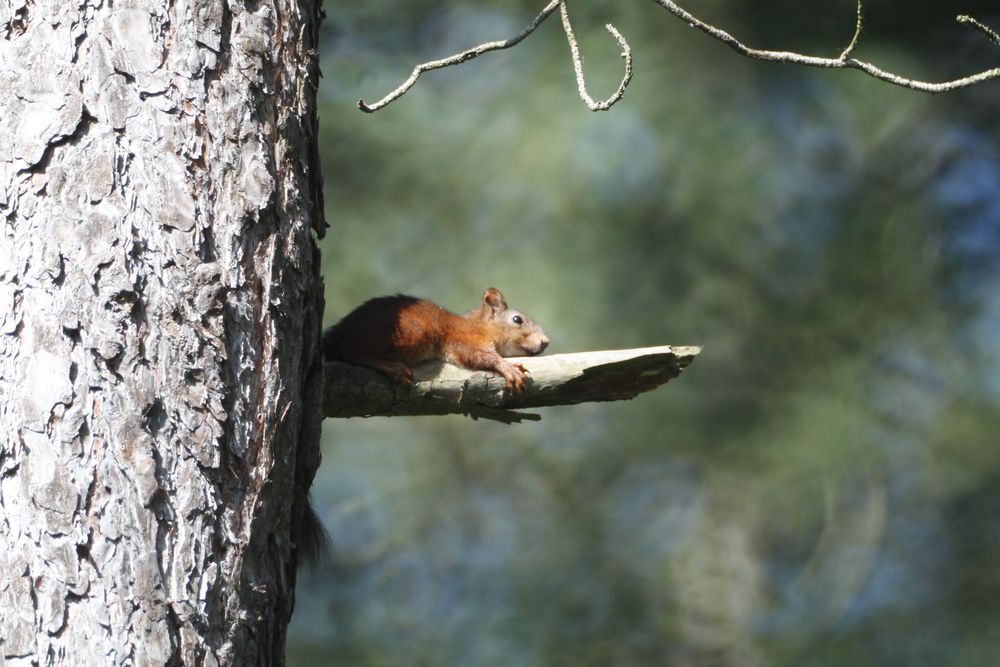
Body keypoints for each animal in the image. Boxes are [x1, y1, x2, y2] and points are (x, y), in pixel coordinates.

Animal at [324, 288, 552, 392]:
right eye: (517, 320)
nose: (545, 341)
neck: (480, 327)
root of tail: (340, 330)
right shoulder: (465, 339)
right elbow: (481, 356)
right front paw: (507, 367)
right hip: (410, 333)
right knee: (350, 350)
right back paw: (391, 367)